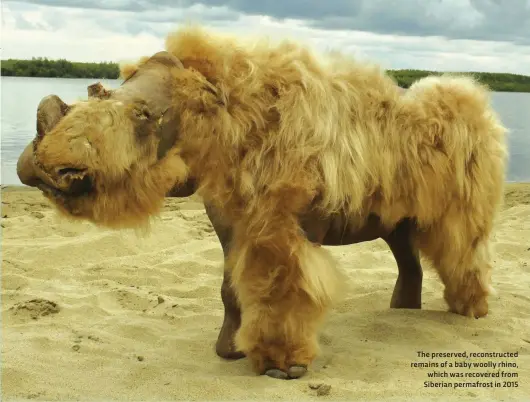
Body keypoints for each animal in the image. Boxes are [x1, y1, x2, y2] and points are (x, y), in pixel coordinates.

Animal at [15, 27, 504, 380]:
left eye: (145, 116)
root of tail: (483, 110)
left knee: (462, 244)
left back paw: (470, 312)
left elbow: (282, 286)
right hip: (395, 216)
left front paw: (282, 368)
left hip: (464, 194)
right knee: (405, 249)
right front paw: (230, 353)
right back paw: (403, 311)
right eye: (96, 91)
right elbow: (230, 287)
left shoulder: (287, 226)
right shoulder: (228, 221)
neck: (224, 113)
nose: (47, 170)